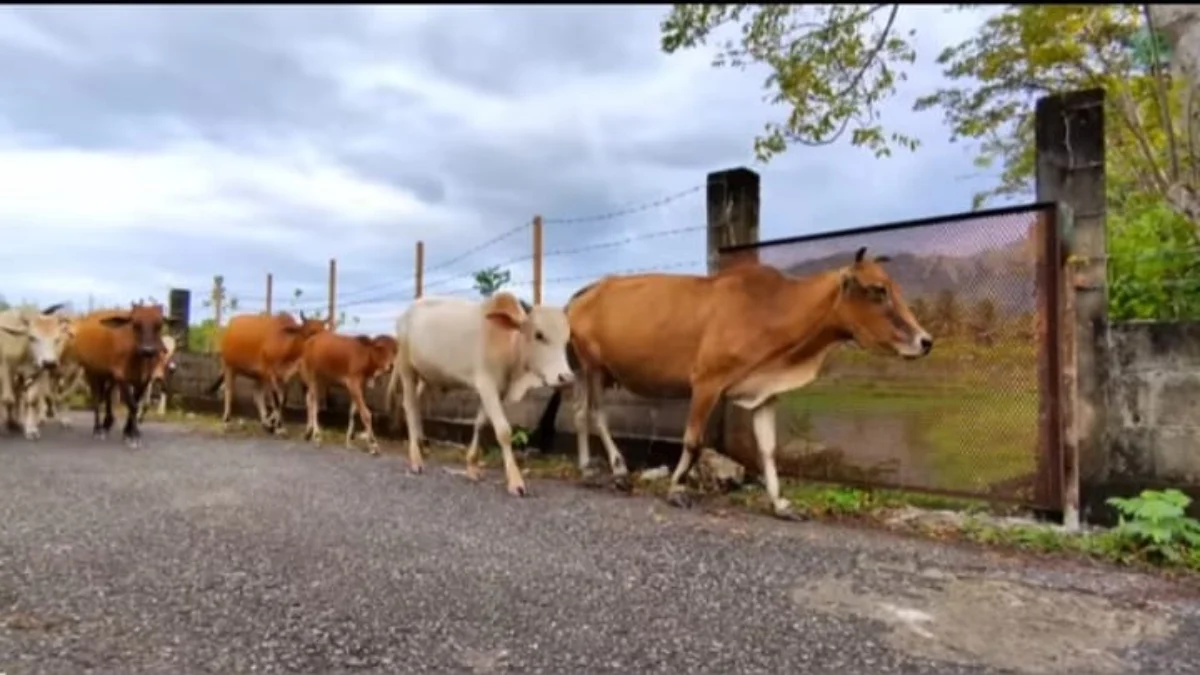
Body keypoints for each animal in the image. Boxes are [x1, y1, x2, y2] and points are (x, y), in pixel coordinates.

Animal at [0, 303, 71, 439]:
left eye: (57, 339)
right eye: (32, 337)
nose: (49, 363)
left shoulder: (39, 373)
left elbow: (32, 400)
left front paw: (31, 430)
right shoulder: (5, 371)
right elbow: (7, 399)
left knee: (19, 397)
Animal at [71, 302, 176, 444]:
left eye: (159, 325)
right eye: (135, 324)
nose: (147, 350)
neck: (137, 357)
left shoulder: (143, 381)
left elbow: (135, 403)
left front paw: (128, 431)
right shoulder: (121, 377)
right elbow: (132, 404)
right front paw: (134, 435)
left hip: (108, 376)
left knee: (107, 394)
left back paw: (107, 423)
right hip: (91, 372)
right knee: (97, 399)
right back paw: (98, 428)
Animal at [384, 293, 571, 494]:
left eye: (567, 339)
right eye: (539, 335)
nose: (566, 377)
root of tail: (405, 314)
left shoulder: (497, 391)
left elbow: (480, 424)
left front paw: (472, 466)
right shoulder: (487, 385)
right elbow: (503, 431)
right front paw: (515, 481)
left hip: (425, 377)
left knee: (417, 406)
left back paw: (423, 445)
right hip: (407, 370)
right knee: (410, 408)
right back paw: (415, 459)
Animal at [535, 246, 936, 514]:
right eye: (878, 290)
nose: (925, 341)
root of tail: (584, 293)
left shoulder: (764, 394)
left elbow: (768, 450)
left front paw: (779, 502)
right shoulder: (707, 382)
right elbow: (693, 441)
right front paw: (677, 489)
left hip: (585, 372)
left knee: (580, 414)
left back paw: (588, 469)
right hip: (594, 368)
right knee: (596, 415)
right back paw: (618, 471)